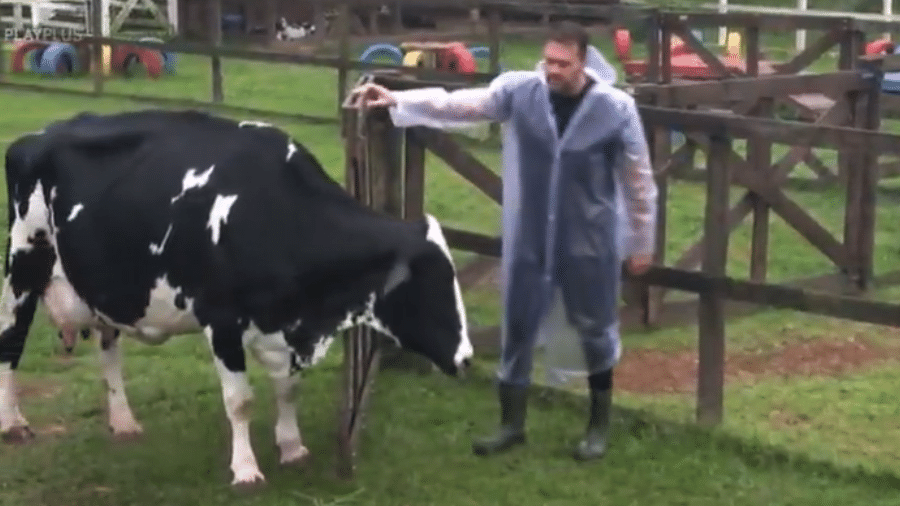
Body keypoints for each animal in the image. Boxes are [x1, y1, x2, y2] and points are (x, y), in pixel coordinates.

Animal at [0, 110, 474, 486]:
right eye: (429, 285)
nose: (468, 358)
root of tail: (38, 135)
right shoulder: (221, 320)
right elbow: (241, 401)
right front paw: (246, 469)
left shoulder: (284, 329)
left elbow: (288, 390)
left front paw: (292, 447)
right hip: (23, 263)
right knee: (11, 342)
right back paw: (14, 423)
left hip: (103, 287)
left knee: (108, 351)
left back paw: (124, 421)